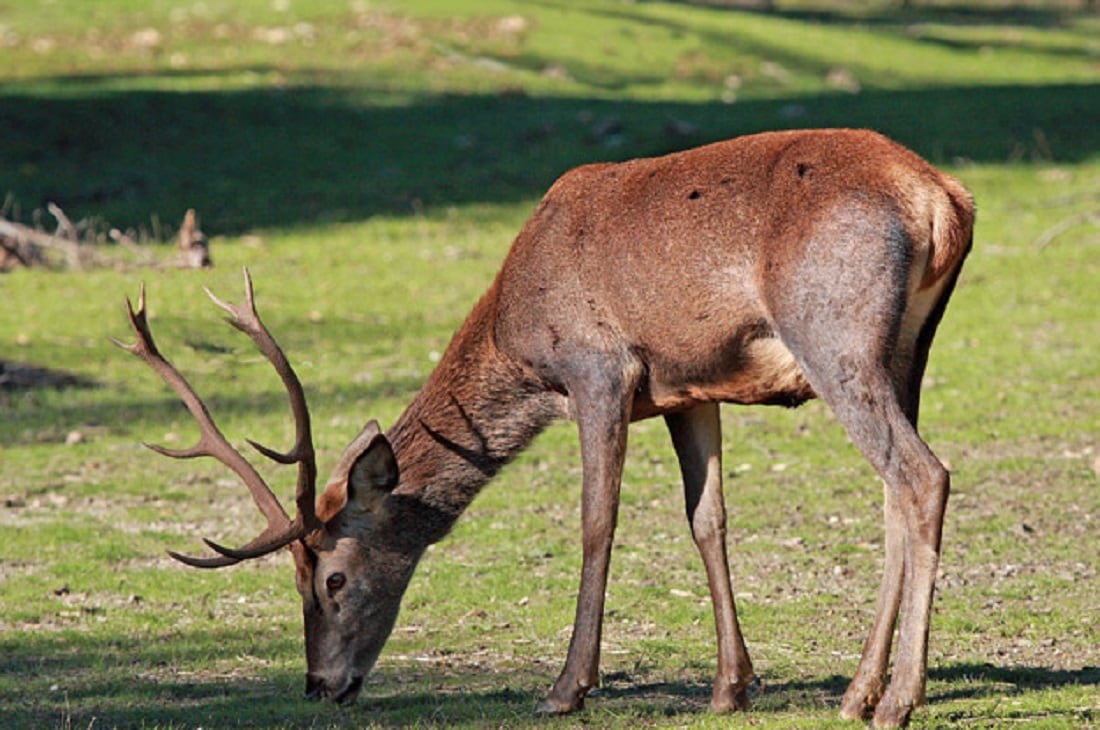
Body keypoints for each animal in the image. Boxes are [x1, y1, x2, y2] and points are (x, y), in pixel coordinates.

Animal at [118, 128, 972, 725]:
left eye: (331, 577)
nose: (318, 684)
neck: (515, 329)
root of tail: (942, 200)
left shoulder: (598, 370)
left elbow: (597, 521)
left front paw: (566, 686)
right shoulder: (689, 386)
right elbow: (708, 521)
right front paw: (731, 686)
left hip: (833, 334)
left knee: (922, 474)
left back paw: (897, 700)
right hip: (908, 352)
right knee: (893, 494)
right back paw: (862, 691)